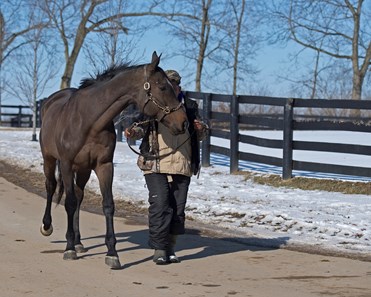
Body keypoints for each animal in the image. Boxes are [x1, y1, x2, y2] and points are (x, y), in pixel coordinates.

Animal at [40, 52, 189, 268]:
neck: (88, 120)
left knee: (79, 196)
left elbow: (108, 205)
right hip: (49, 159)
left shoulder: (104, 166)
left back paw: (78, 242)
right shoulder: (67, 165)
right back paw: (48, 227)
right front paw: (68, 249)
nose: (183, 122)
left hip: (83, 170)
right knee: (51, 187)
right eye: (162, 87)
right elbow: (69, 202)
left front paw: (112, 253)